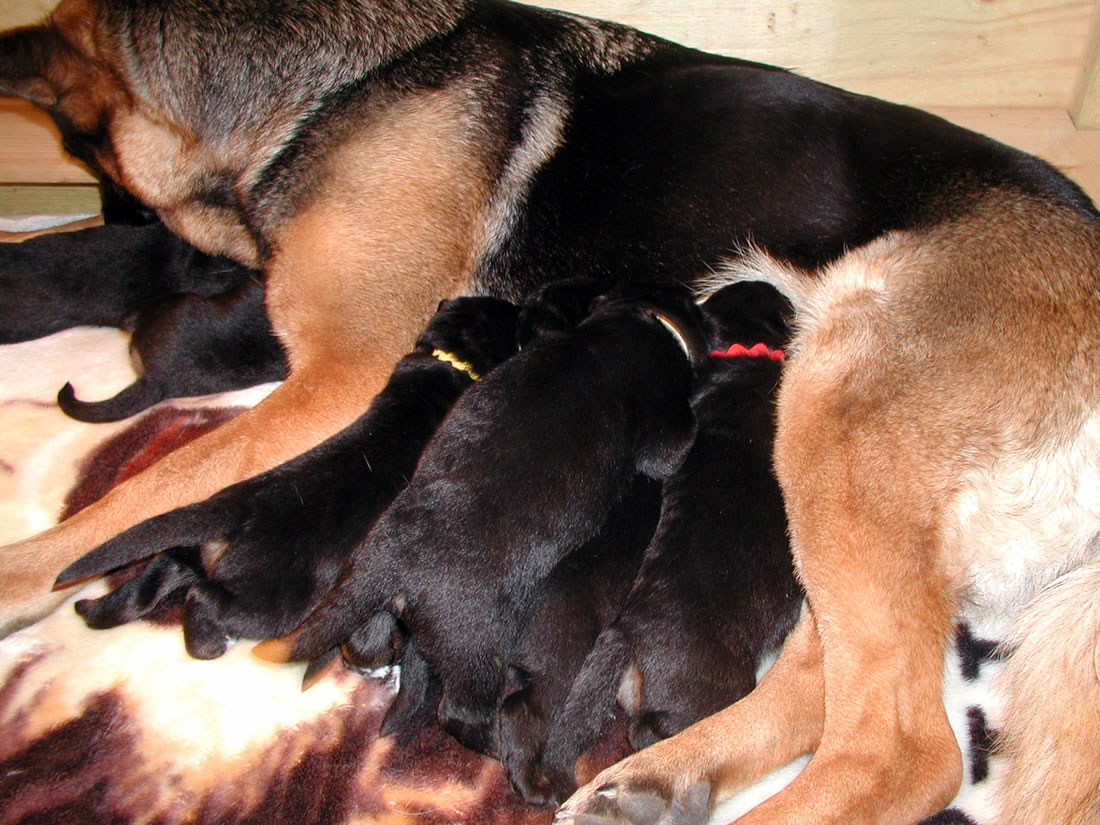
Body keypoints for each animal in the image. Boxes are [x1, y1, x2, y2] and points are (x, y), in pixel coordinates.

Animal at [55, 295, 520, 658]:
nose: (523, 307)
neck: (449, 358)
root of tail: (234, 507)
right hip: (270, 598)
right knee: (203, 598)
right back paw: (209, 643)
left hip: (187, 554)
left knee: (157, 579)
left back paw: (94, 611)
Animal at [260, 282, 709, 757]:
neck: (633, 326)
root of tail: (389, 567)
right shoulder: (664, 428)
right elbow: (674, 443)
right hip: (474, 645)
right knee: (463, 713)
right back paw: (499, 744)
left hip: (371, 591)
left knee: (366, 640)